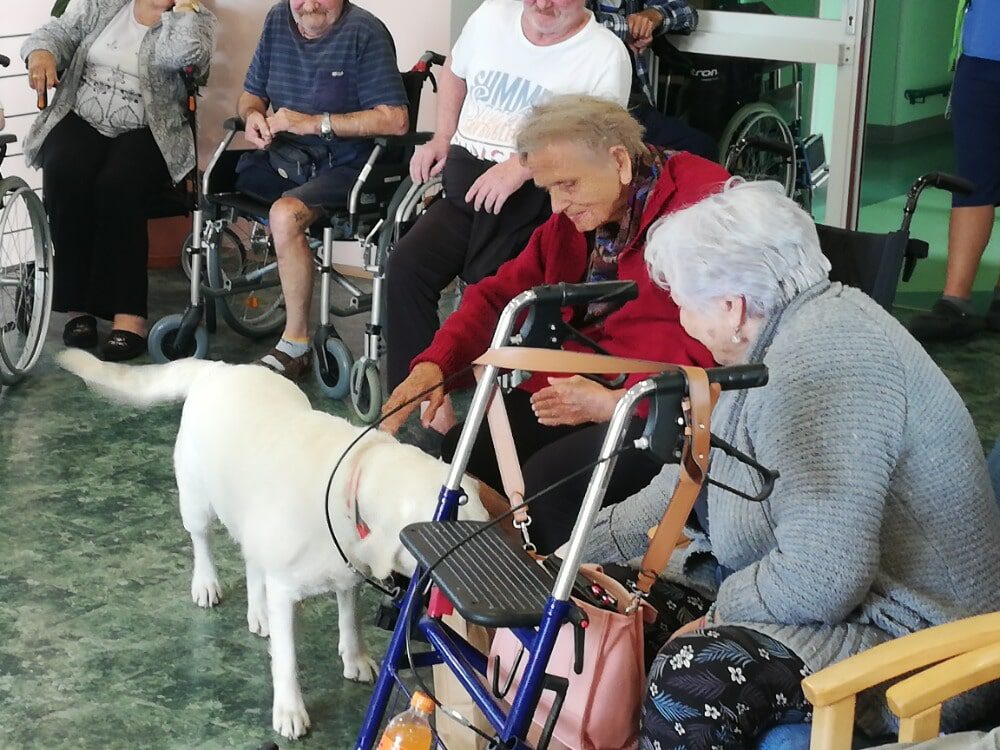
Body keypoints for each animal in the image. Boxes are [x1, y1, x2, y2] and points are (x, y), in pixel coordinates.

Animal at [57, 350, 487, 739]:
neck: (353, 482)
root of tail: (218, 368)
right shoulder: (286, 590)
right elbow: (285, 658)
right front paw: (290, 710)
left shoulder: (347, 570)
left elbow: (349, 620)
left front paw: (356, 658)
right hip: (196, 500)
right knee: (202, 541)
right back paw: (207, 584)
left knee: (252, 562)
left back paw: (257, 610)